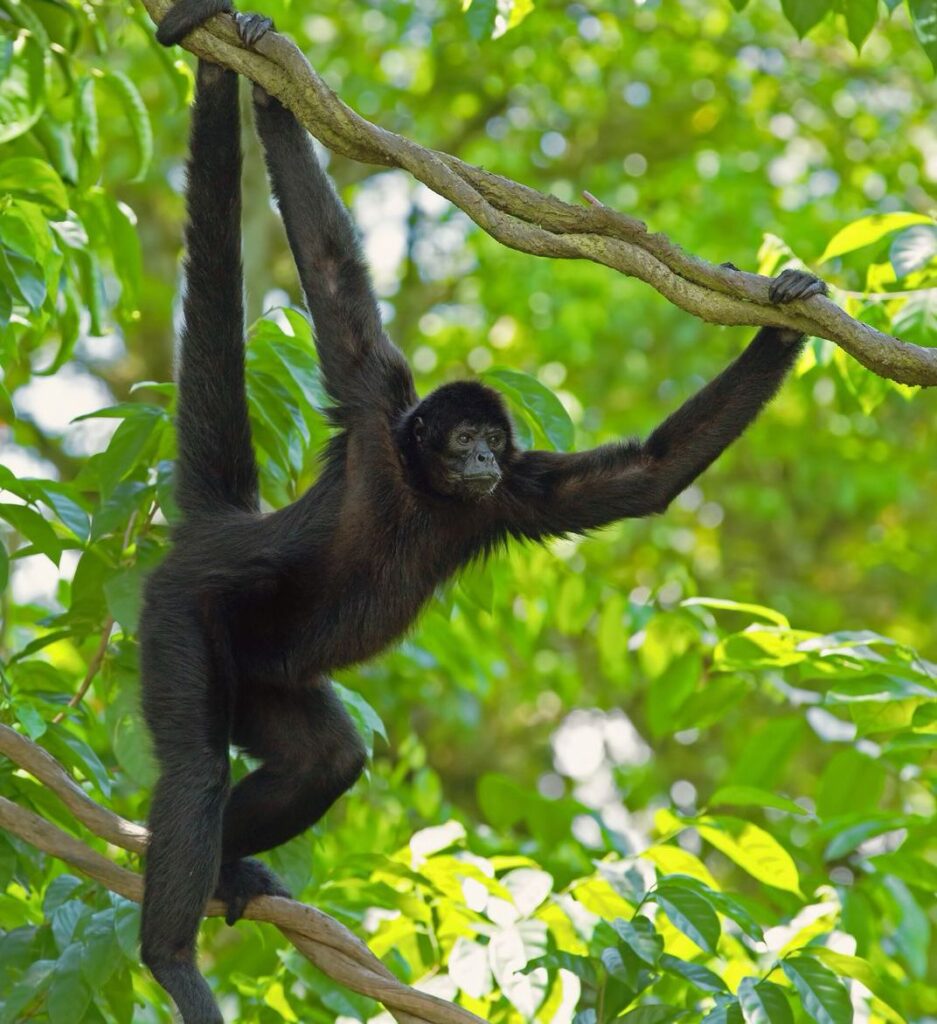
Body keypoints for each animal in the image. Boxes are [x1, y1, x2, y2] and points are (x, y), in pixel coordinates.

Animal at [141, 9, 827, 1024]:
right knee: (194, 770)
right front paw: (271, 90)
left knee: (323, 760)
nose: (478, 459)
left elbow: (647, 478)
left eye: (494, 444)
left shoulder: (509, 497)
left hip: (265, 670)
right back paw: (170, 958)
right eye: (463, 435)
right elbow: (334, 279)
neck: (422, 492)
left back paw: (231, 866)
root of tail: (218, 533)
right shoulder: (375, 414)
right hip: (183, 614)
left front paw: (780, 327)